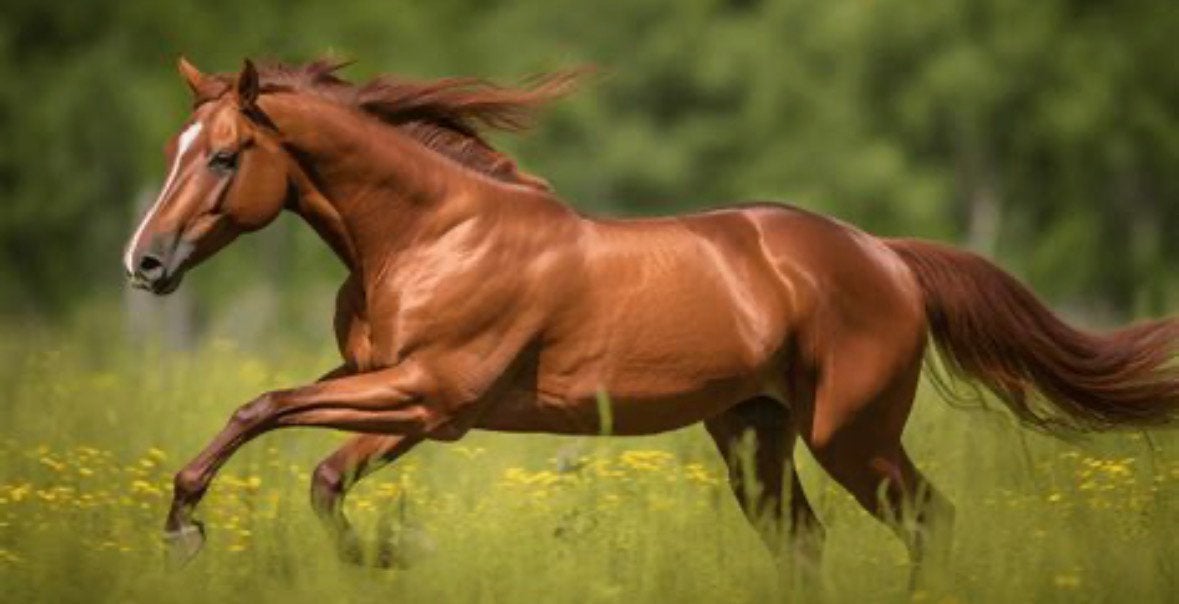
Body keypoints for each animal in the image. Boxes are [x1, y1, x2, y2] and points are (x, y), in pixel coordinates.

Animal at [123, 57, 1179, 580]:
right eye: (175, 145)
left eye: (224, 155)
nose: (145, 261)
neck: (430, 235)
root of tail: (884, 255)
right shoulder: (392, 394)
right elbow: (303, 456)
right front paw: (194, 524)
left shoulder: (428, 398)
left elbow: (273, 416)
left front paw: (365, 552)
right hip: (754, 436)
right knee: (806, 545)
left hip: (851, 433)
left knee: (929, 522)